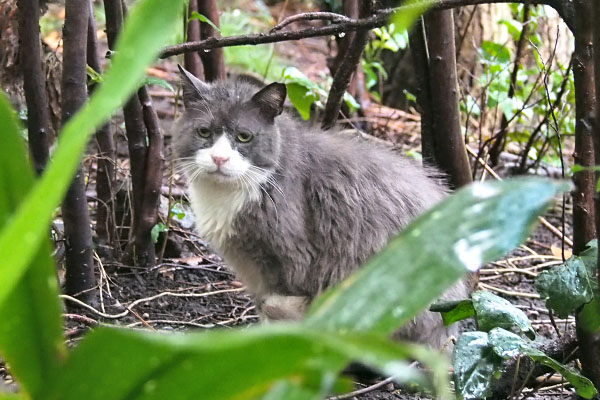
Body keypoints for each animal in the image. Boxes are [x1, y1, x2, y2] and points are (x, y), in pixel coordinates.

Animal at [171, 65, 466, 346]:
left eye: (244, 137)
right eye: (204, 132)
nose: (219, 158)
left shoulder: (293, 261)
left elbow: (275, 305)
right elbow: (263, 304)